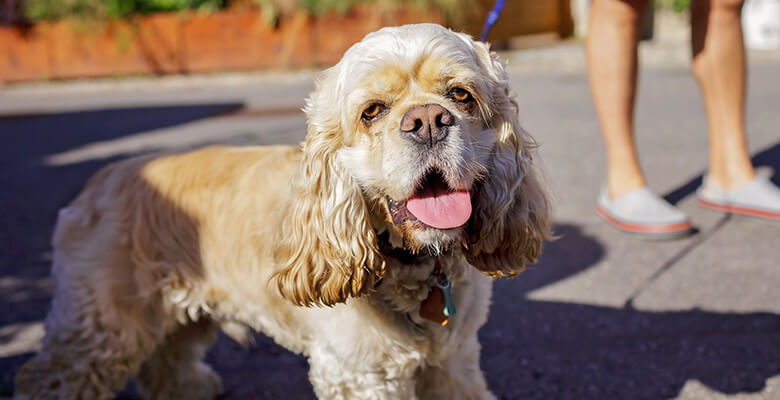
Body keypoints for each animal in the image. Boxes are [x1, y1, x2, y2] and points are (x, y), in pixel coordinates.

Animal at [12, 23, 548, 398]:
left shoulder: (454, 360)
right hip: (102, 327)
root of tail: (101, 179)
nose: (429, 121)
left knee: (168, 357)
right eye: (372, 111)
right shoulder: (357, 373)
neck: (414, 265)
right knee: (45, 376)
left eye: (460, 95)